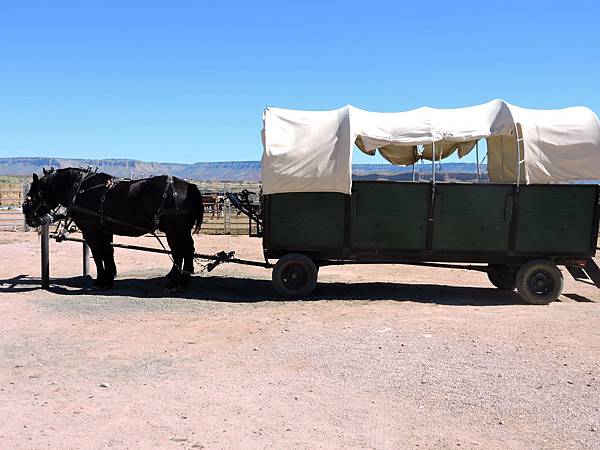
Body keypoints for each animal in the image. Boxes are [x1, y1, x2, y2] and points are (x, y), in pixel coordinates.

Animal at [23, 167, 204, 290]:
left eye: (33, 192)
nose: (27, 214)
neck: (80, 189)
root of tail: (189, 186)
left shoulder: (90, 231)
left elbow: (98, 255)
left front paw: (101, 280)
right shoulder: (105, 230)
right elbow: (108, 253)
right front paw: (109, 277)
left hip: (175, 231)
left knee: (180, 252)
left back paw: (177, 281)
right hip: (180, 231)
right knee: (187, 251)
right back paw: (181, 278)